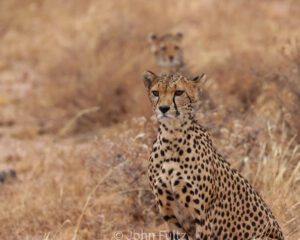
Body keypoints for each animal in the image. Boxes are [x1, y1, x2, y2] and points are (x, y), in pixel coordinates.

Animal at [143, 71, 284, 240]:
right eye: (155, 93)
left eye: (178, 92)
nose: (163, 108)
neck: (172, 138)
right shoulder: (170, 216)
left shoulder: (203, 219)